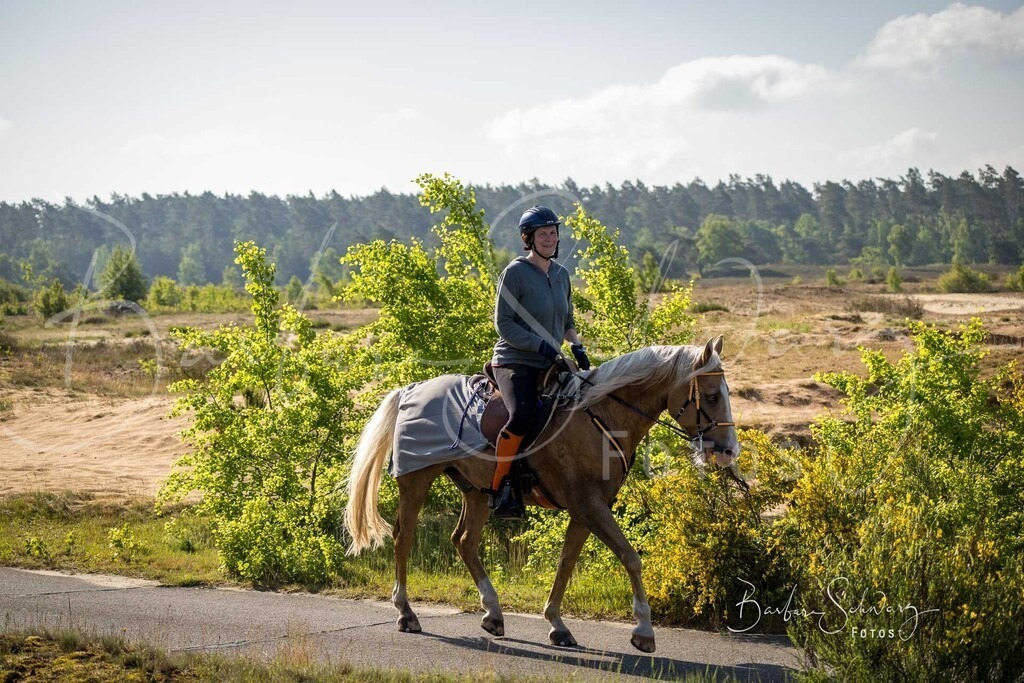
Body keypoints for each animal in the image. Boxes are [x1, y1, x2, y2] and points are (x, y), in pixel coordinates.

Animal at [343, 336, 739, 654]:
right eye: (712, 396)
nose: (728, 451)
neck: (602, 417)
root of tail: (410, 390)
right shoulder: (590, 506)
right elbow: (630, 558)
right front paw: (643, 631)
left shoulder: (586, 510)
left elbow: (566, 563)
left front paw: (557, 625)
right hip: (417, 480)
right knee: (404, 540)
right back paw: (406, 613)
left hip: (477, 491)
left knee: (464, 540)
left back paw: (493, 613)